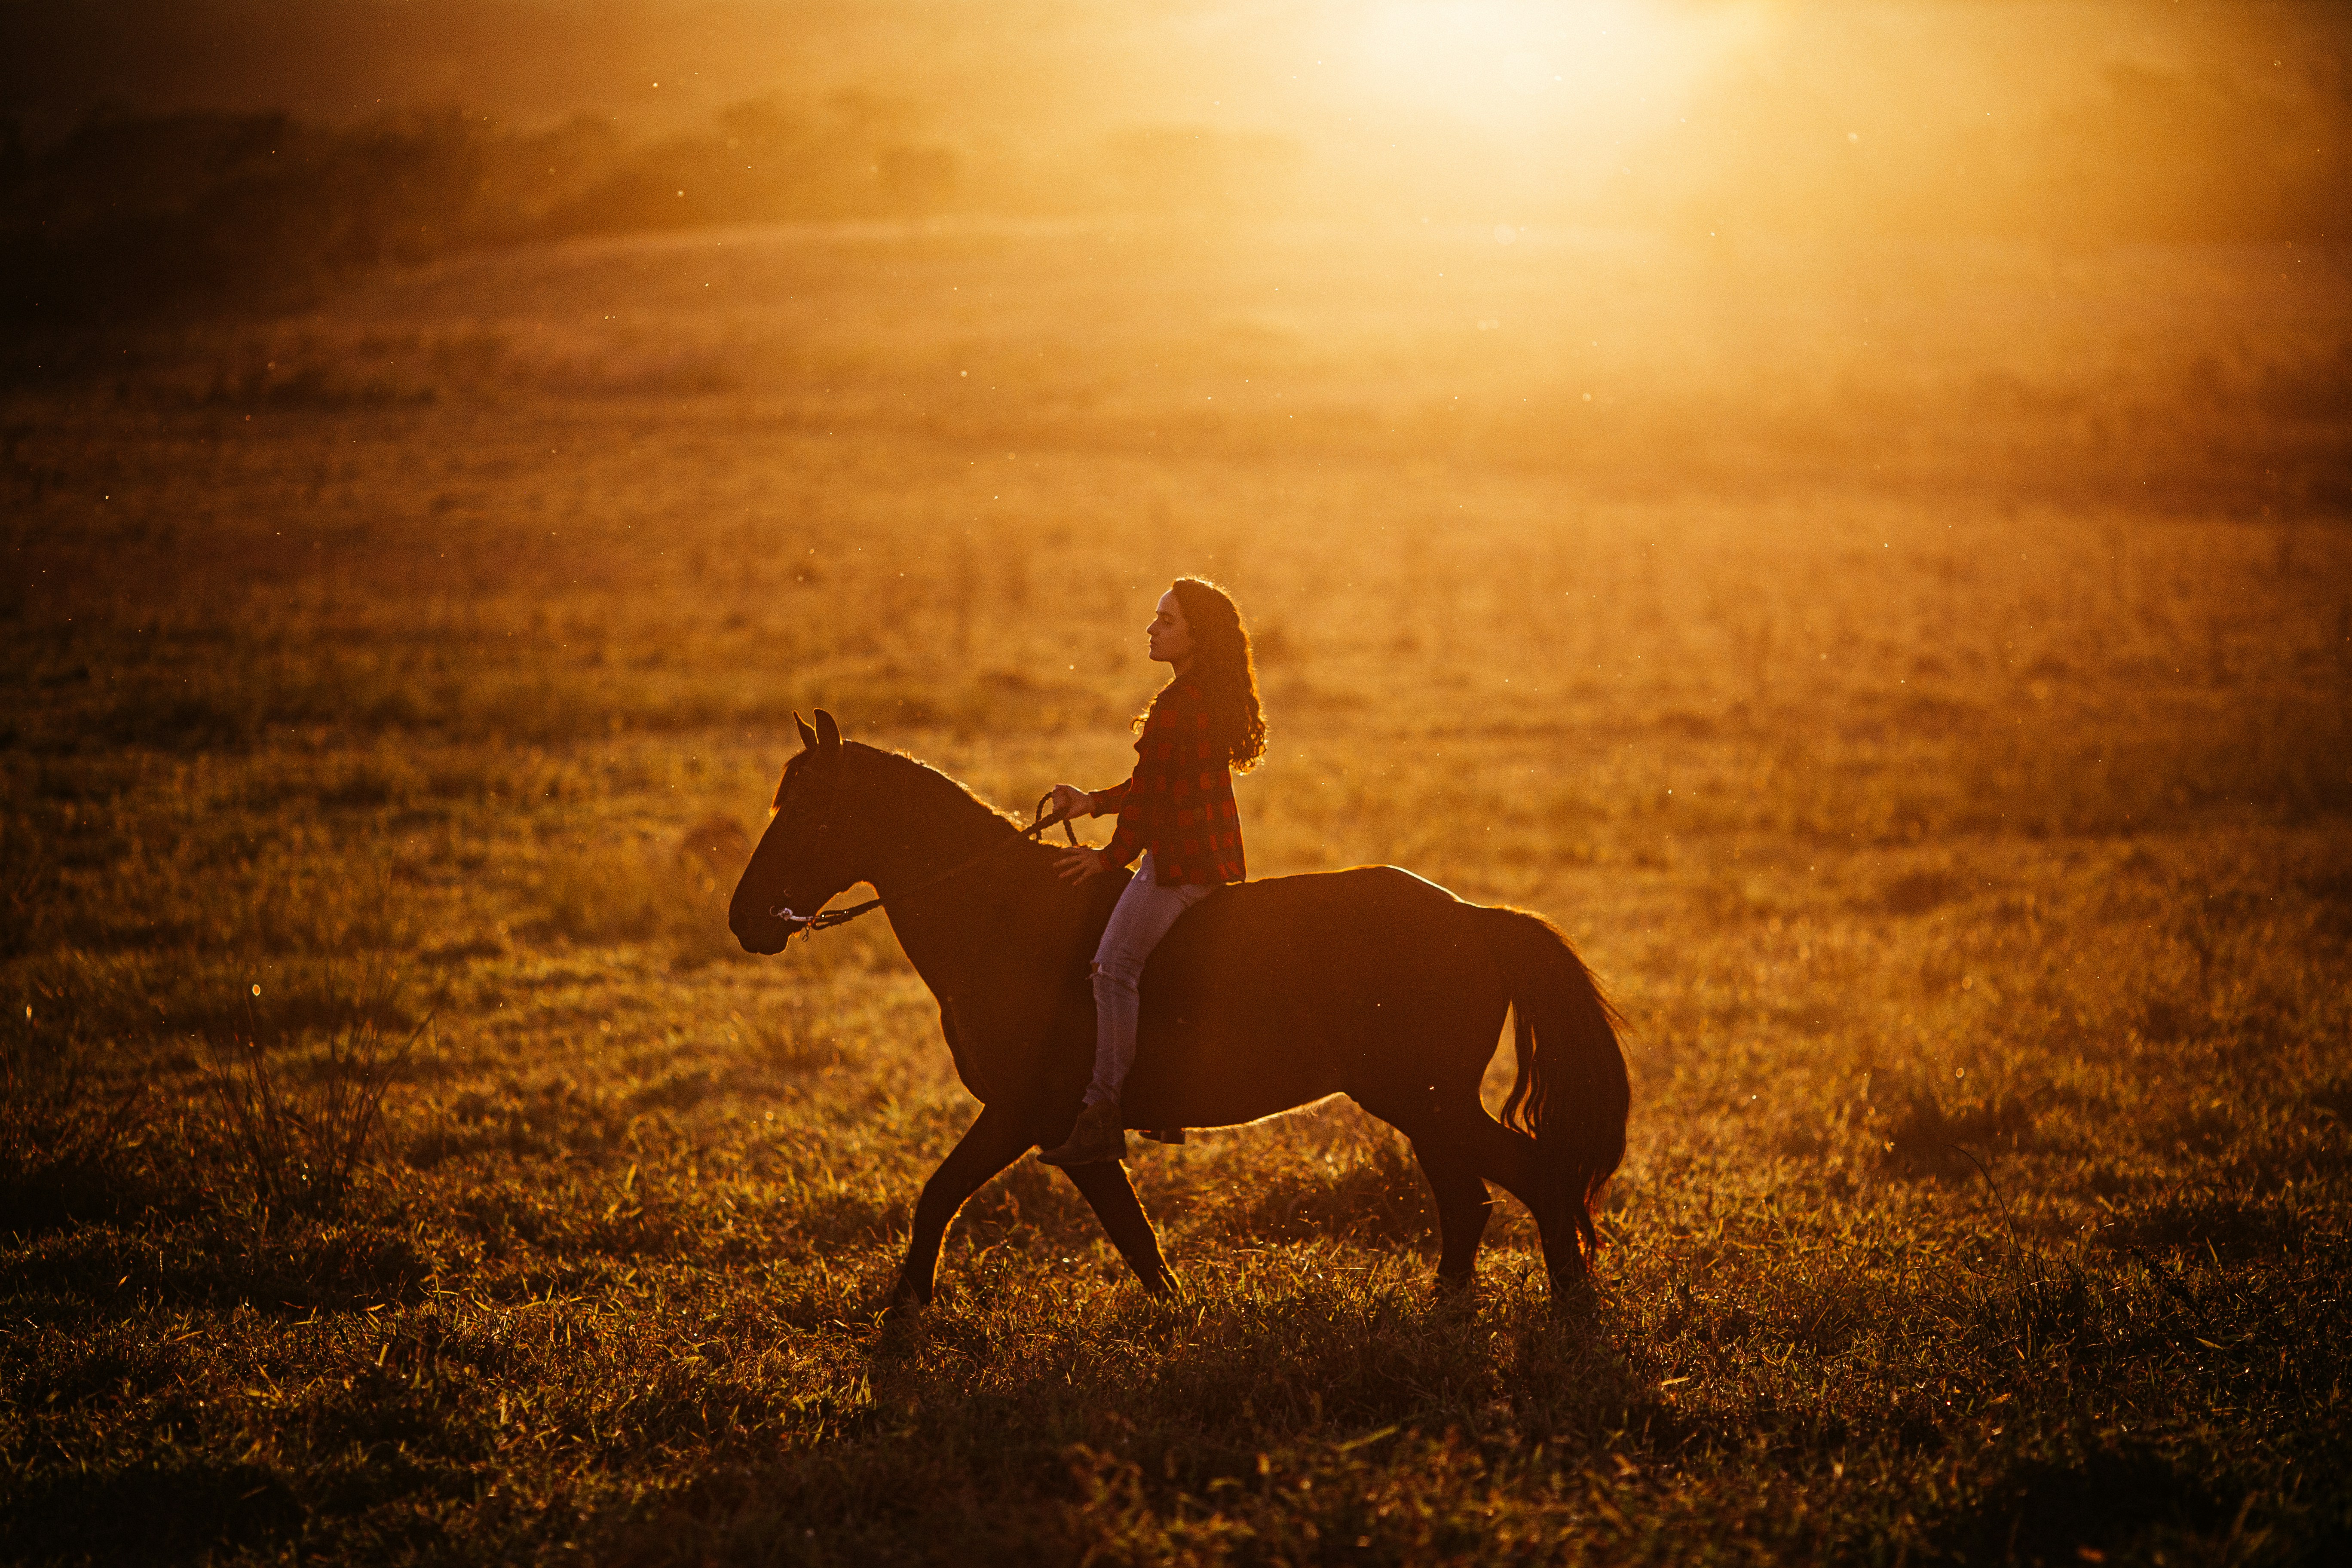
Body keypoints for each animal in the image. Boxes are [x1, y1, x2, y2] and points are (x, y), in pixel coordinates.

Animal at [728, 709, 1630, 1305]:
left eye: (805, 810)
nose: (745, 918)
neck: (1005, 917)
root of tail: (1474, 917)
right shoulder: (1049, 1127)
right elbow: (1113, 1234)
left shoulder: (1031, 1114)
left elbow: (964, 1200)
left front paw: (905, 1314)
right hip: (1424, 1104)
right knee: (1470, 1198)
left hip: (1425, 1099)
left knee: (1530, 1179)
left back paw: (1566, 1308)